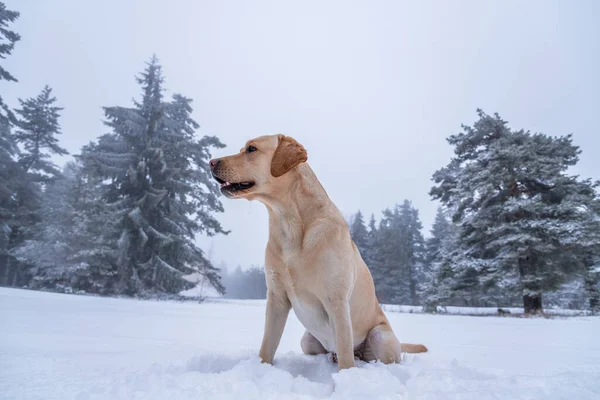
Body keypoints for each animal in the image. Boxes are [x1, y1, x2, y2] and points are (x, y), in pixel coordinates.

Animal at [211, 134, 426, 368]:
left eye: (251, 149)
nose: (211, 162)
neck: (289, 224)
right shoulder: (277, 297)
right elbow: (267, 346)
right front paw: (261, 367)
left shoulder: (337, 301)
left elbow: (345, 356)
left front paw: (347, 375)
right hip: (307, 339)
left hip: (380, 338)